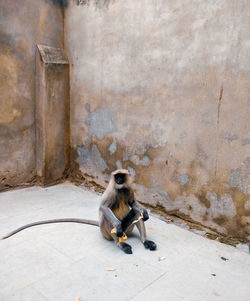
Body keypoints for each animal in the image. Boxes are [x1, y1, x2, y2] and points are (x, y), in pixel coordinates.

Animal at [1, 169, 156, 253]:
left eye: (121, 176)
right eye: (116, 176)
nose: (118, 179)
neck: (121, 188)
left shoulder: (128, 188)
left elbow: (133, 203)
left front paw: (145, 212)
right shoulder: (112, 190)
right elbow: (104, 208)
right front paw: (117, 226)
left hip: (127, 230)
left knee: (135, 213)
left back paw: (146, 241)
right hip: (106, 232)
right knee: (108, 220)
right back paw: (120, 244)